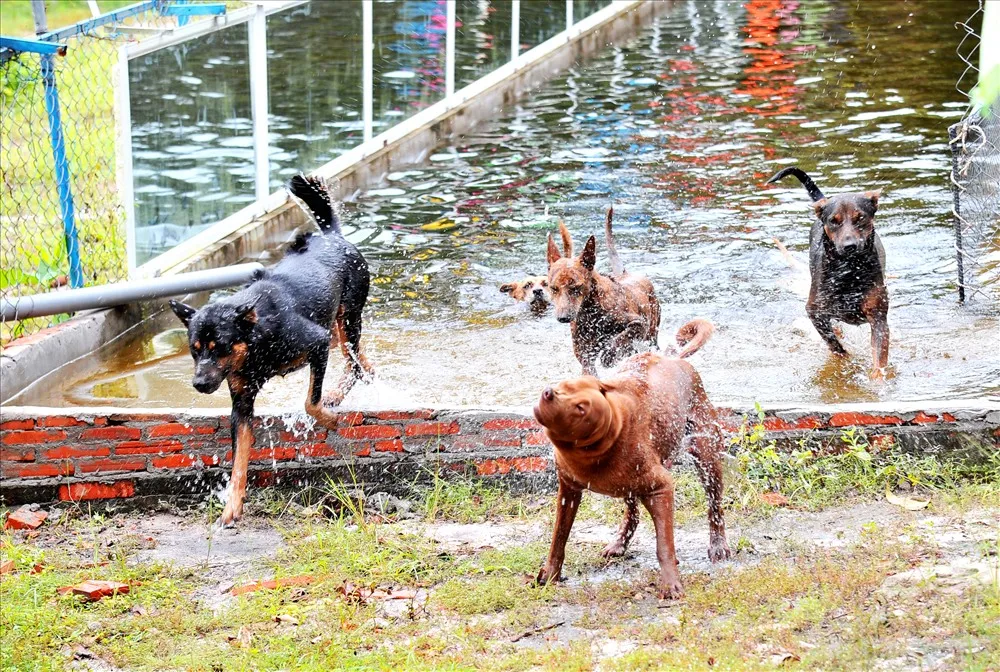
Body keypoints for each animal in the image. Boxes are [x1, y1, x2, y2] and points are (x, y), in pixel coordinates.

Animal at [172, 176, 376, 528]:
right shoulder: (241, 403)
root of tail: (332, 236)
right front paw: (232, 507)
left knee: (352, 359)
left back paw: (339, 391)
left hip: (349, 316)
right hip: (338, 324)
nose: (198, 383)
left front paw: (330, 419)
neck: (256, 342)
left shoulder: (315, 343)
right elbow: (239, 459)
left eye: (220, 347)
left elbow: (310, 402)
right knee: (356, 357)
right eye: (194, 351)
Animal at [536, 320, 732, 600]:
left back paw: (718, 544)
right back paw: (620, 542)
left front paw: (671, 584)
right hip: (633, 482)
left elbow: (664, 545)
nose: (548, 392)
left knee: (714, 506)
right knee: (632, 513)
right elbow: (559, 537)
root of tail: (672, 357)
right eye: (566, 386)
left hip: (707, 455)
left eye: (581, 407)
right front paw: (550, 574)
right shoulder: (568, 490)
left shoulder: (661, 488)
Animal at [552, 209, 660, 376]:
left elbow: (621, 338)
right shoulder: (583, 350)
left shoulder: (639, 324)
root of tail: (624, 273)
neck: (591, 313)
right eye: (553, 288)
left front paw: (609, 355)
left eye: (576, 287)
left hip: (652, 333)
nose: (563, 317)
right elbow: (588, 366)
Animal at [764, 166, 892, 380]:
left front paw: (877, 377)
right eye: (834, 221)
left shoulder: (878, 315)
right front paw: (844, 360)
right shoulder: (815, 311)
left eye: (860, 218)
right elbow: (834, 344)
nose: (850, 246)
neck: (850, 271)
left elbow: (879, 356)